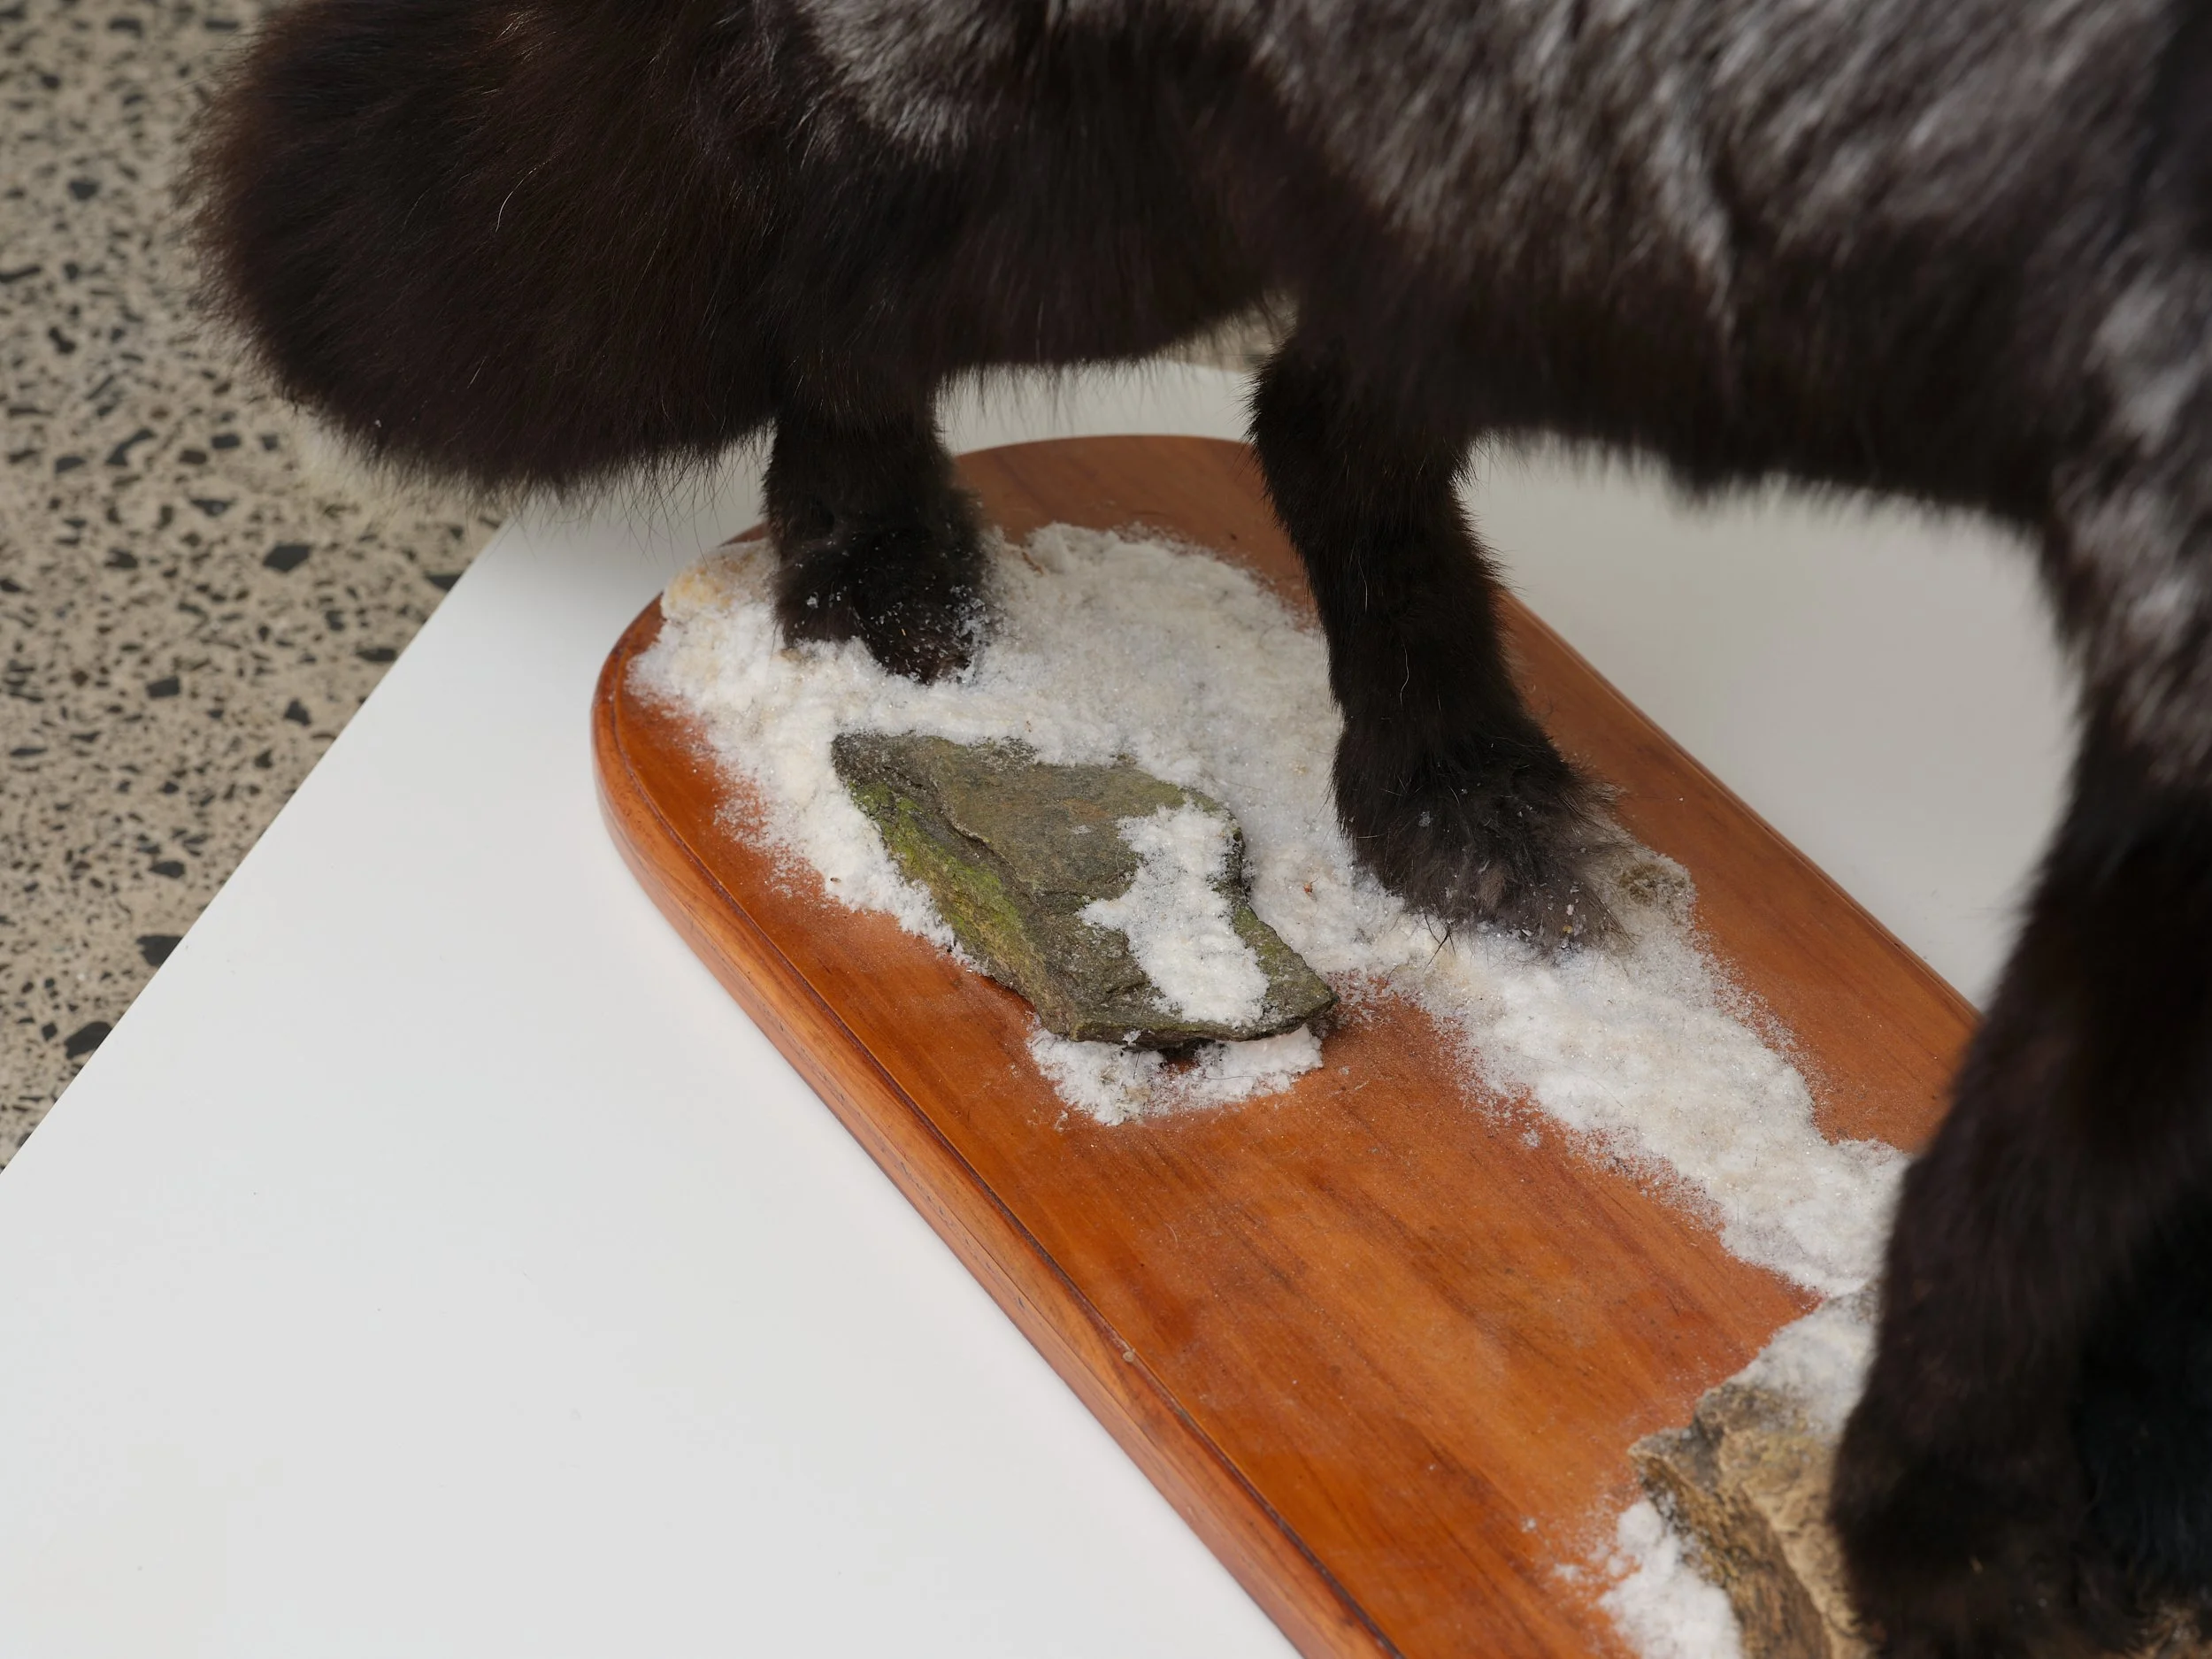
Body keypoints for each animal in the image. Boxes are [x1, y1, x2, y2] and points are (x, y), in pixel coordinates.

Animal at [198, 2, 2212, 1651]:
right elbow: (2031, 1197)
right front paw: (1991, 1543)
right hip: (1109, 221)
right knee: (857, 288)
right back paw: (896, 584)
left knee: (1314, 413)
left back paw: (1454, 798)